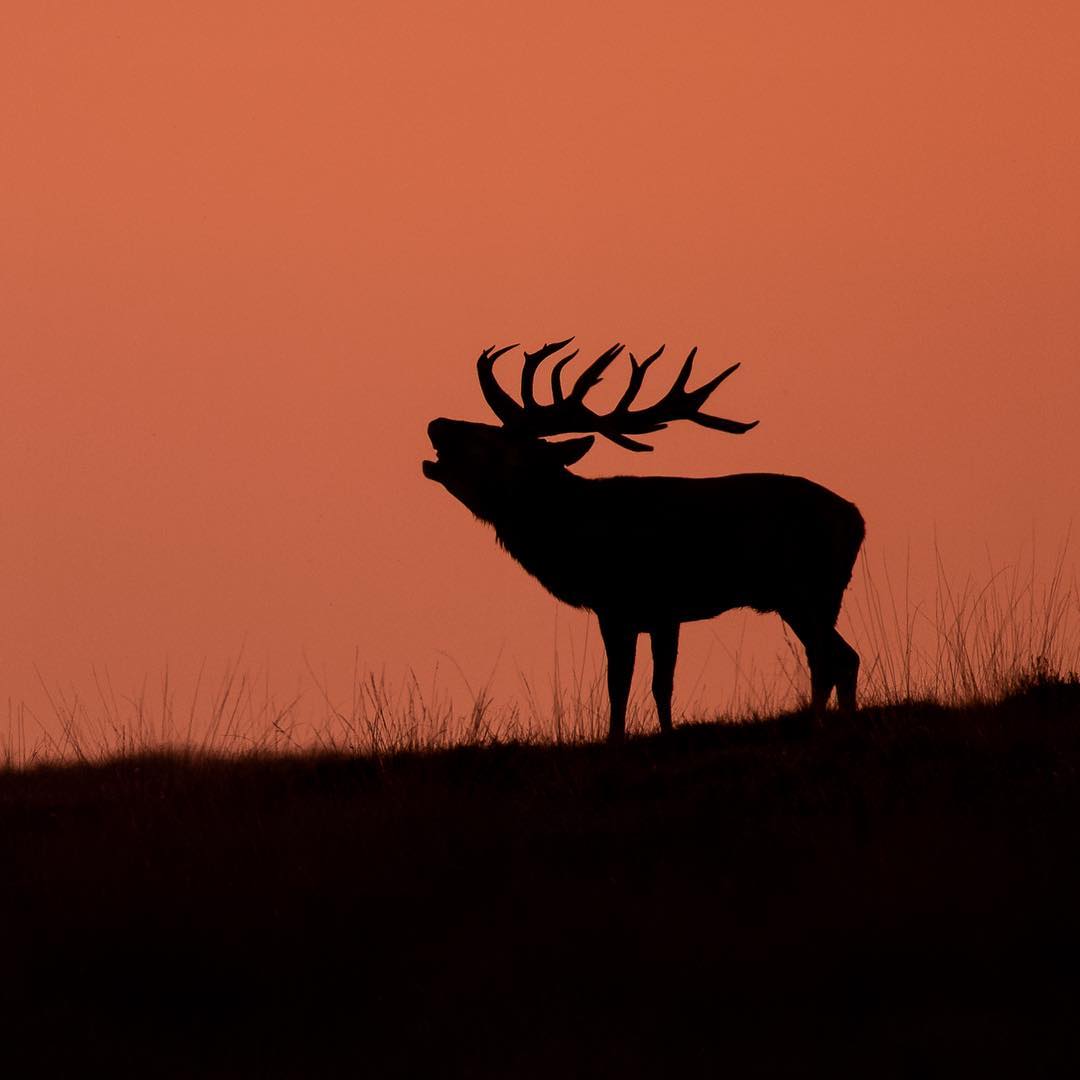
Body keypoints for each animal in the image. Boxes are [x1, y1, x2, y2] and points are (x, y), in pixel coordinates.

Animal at [416, 339, 864, 743]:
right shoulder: (634, 610)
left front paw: (632, 738)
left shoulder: (647, 603)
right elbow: (640, 685)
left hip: (806, 589)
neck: (577, 531)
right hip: (805, 598)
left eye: (493, 442)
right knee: (836, 658)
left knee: (835, 657)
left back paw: (824, 725)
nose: (437, 423)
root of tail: (857, 520)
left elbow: (638, 684)